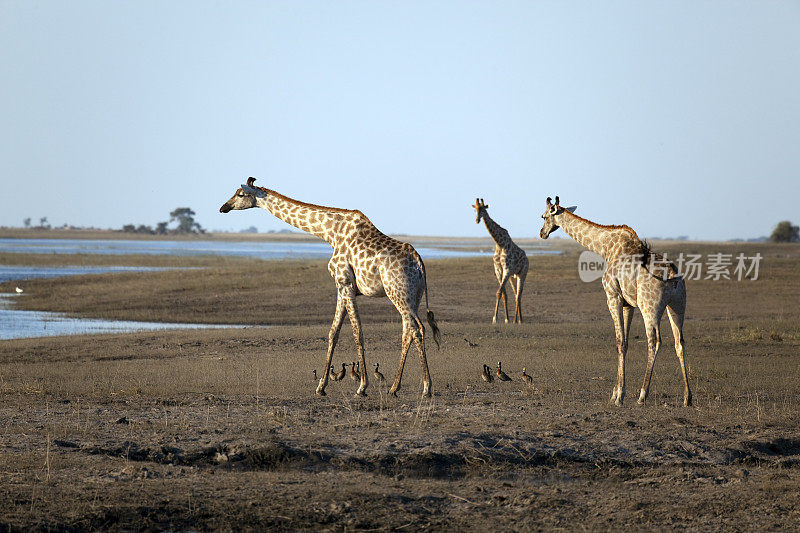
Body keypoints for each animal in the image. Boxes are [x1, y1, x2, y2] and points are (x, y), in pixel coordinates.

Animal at [219, 177, 440, 396]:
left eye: (240, 194)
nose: (223, 208)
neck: (330, 233)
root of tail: (419, 263)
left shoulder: (345, 283)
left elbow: (357, 333)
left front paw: (362, 386)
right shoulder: (341, 288)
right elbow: (333, 332)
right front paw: (321, 386)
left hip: (398, 293)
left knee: (416, 329)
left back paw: (426, 387)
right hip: (413, 296)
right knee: (408, 331)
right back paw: (395, 387)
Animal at [536, 195, 692, 408]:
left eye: (543, 216)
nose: (542, 233)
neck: (606, 248)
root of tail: (673, 275)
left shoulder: (613, 297)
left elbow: (619, 342)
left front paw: (618, 397)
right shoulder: (629, 304)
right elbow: (625, 343)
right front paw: (616, 393)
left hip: (650, 307)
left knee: (654, 341)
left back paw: (643, 395)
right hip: (677, 305)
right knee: (679, 342)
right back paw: (687, 397)